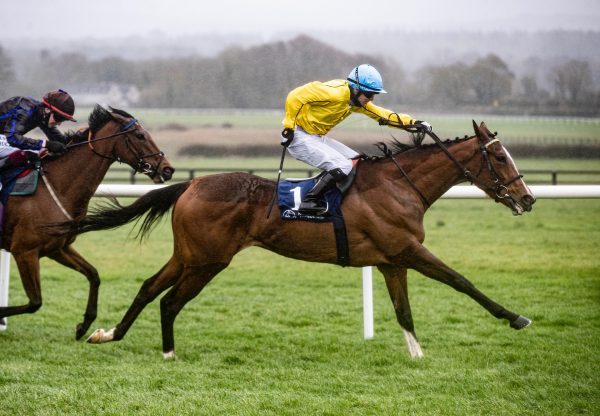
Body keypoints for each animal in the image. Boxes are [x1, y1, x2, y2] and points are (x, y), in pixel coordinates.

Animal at [0, 105, 173, 340]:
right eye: (140, 135)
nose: (168, 169)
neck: (56, 188)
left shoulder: (58, 248)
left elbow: (94, 275)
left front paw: (83, 325)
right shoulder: (24, 252)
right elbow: (35, 302)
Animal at [58, 120, 536, 358]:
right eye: (498, 156)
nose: (527, 198)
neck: (400, 185)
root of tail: (191, 184)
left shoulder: (391, 260)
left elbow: (404, 311)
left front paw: (416, 355)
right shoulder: (408, 249)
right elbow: (461, 281)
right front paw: (516, 317)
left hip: (190, 254)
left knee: (148, 288)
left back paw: (108, 334)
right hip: (209, 260)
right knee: (170, 301)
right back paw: (168, 353)